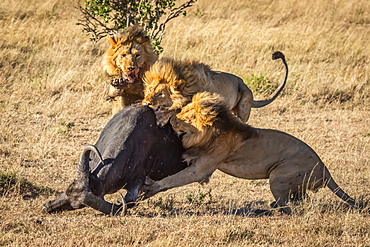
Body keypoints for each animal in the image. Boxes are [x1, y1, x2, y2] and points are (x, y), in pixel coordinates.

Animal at [143, 51, 288, 126]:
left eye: (160, 94)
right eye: (149, 90)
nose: (146, 103)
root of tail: (246, 86)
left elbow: (176, 110)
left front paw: (161, 118)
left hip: (243, 106)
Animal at [145, 92, 358, 214]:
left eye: (185, 118)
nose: (172, 121)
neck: (215, 130)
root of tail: (325, 169)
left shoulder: (203, 168)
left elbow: (174, 179)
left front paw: (153, 185)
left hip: (278, 176)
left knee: (289, 206)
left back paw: (273, 209)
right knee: (300, 199)